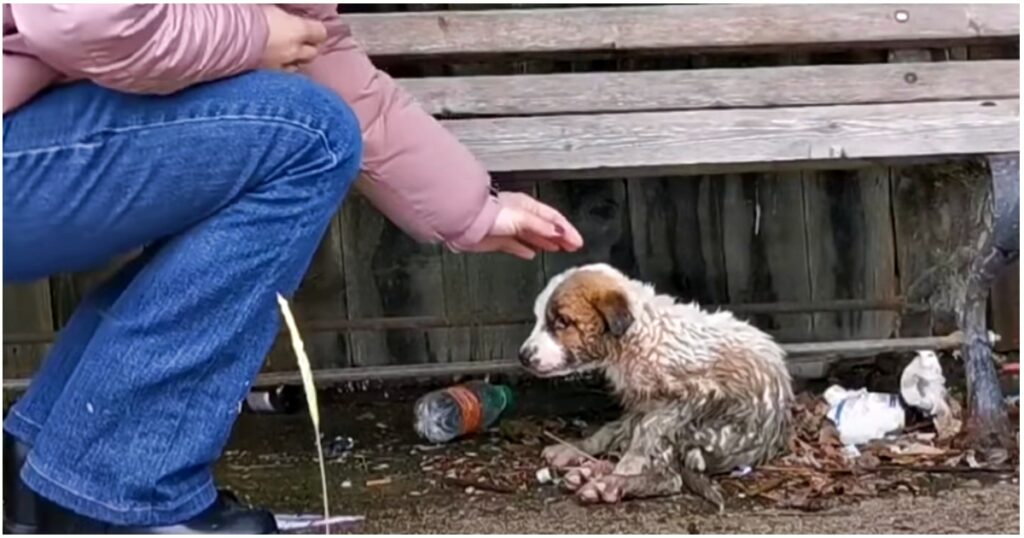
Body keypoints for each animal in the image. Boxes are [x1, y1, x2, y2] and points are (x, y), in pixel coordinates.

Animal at [520, 262, 790, 508]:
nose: (522, 356)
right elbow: (616, 429)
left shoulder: (697, 393)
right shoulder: (641, 402)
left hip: (701, 431)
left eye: (562, 322)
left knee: (669, 477)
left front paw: (628, 464)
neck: (635, 337)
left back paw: (609, 483)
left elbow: (649, 428)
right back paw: (585, 463)